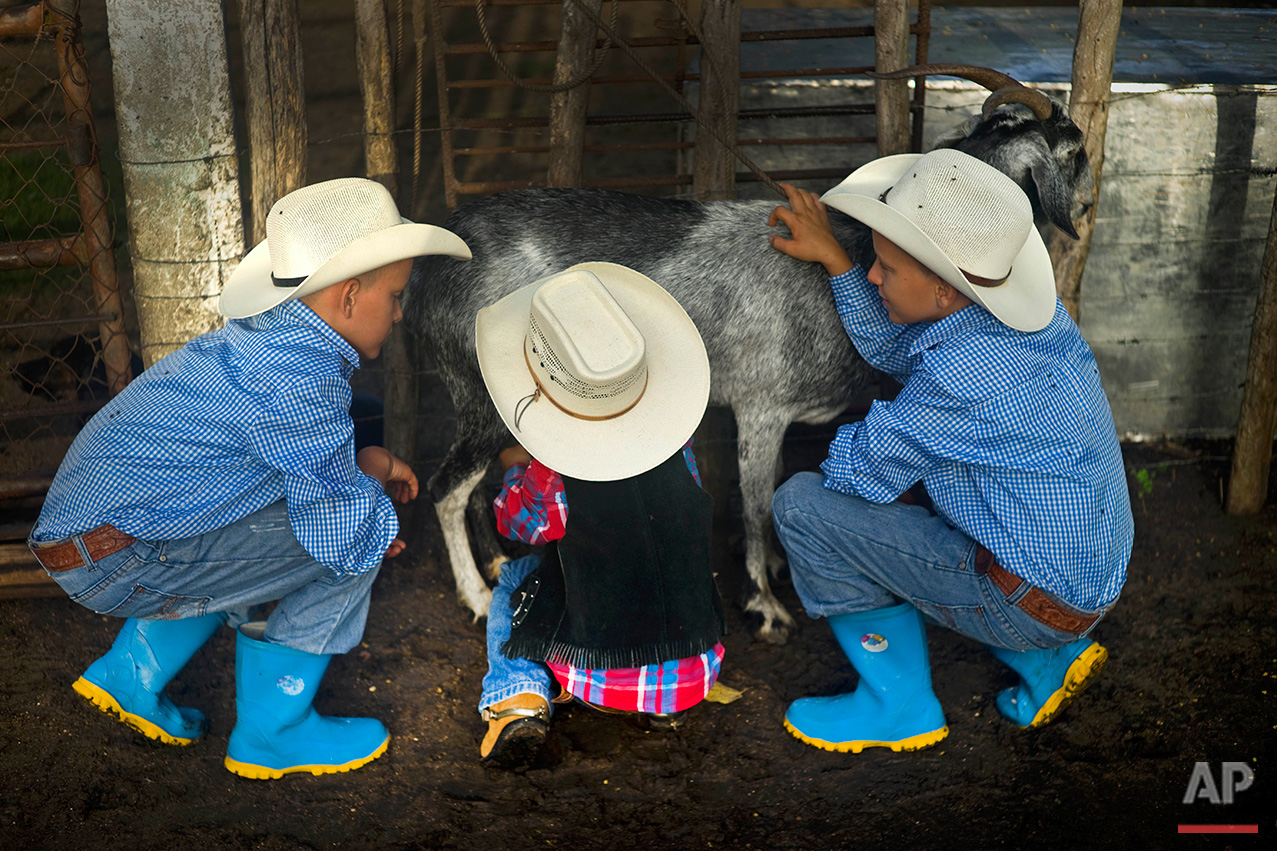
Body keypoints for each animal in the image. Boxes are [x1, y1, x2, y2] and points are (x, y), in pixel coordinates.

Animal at [403, 64, 1093, 644]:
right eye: (1075, 149)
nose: (1089, 201)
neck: (852, 255)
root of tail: (437, 263)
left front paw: (777, 574)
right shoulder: (763, 408)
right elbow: (759, 502)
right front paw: (765, 604)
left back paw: (498, 562)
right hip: (484, 386)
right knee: (444, 487)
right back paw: (475, 595)